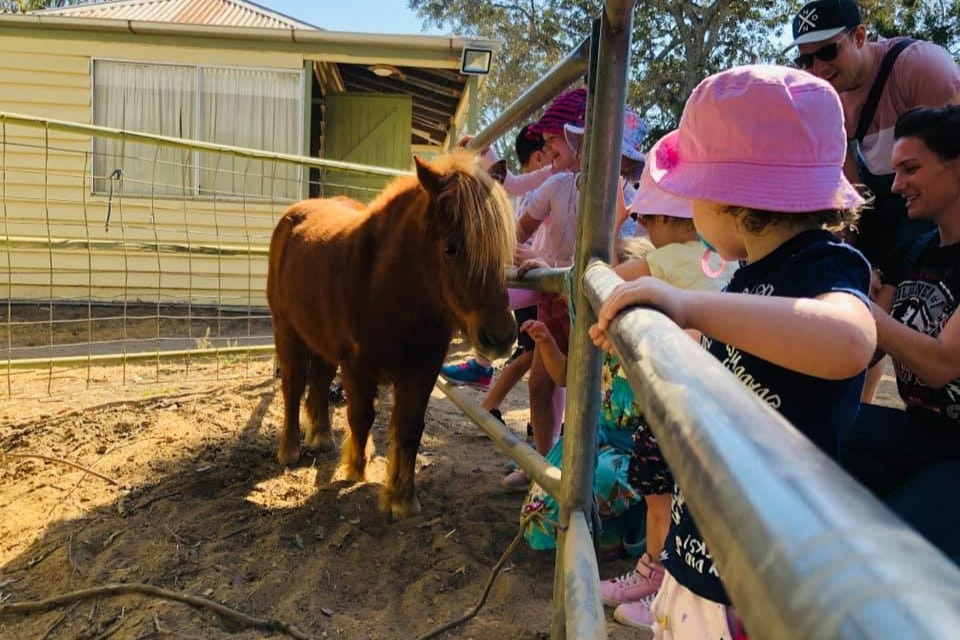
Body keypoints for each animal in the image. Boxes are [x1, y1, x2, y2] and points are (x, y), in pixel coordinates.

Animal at [266, 154, 516, 520]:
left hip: (321, 342)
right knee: (294, 386)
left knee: (320, 382)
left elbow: (409, 430)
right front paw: (356, 470)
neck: (383, 286)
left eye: (504, 251)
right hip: (286, 329)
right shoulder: (357, 367)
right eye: (450, 248)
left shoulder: (421, 372)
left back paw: (322, 437)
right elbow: (361, 417)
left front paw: (402, 498)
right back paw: (289, 449)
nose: (500, 337)